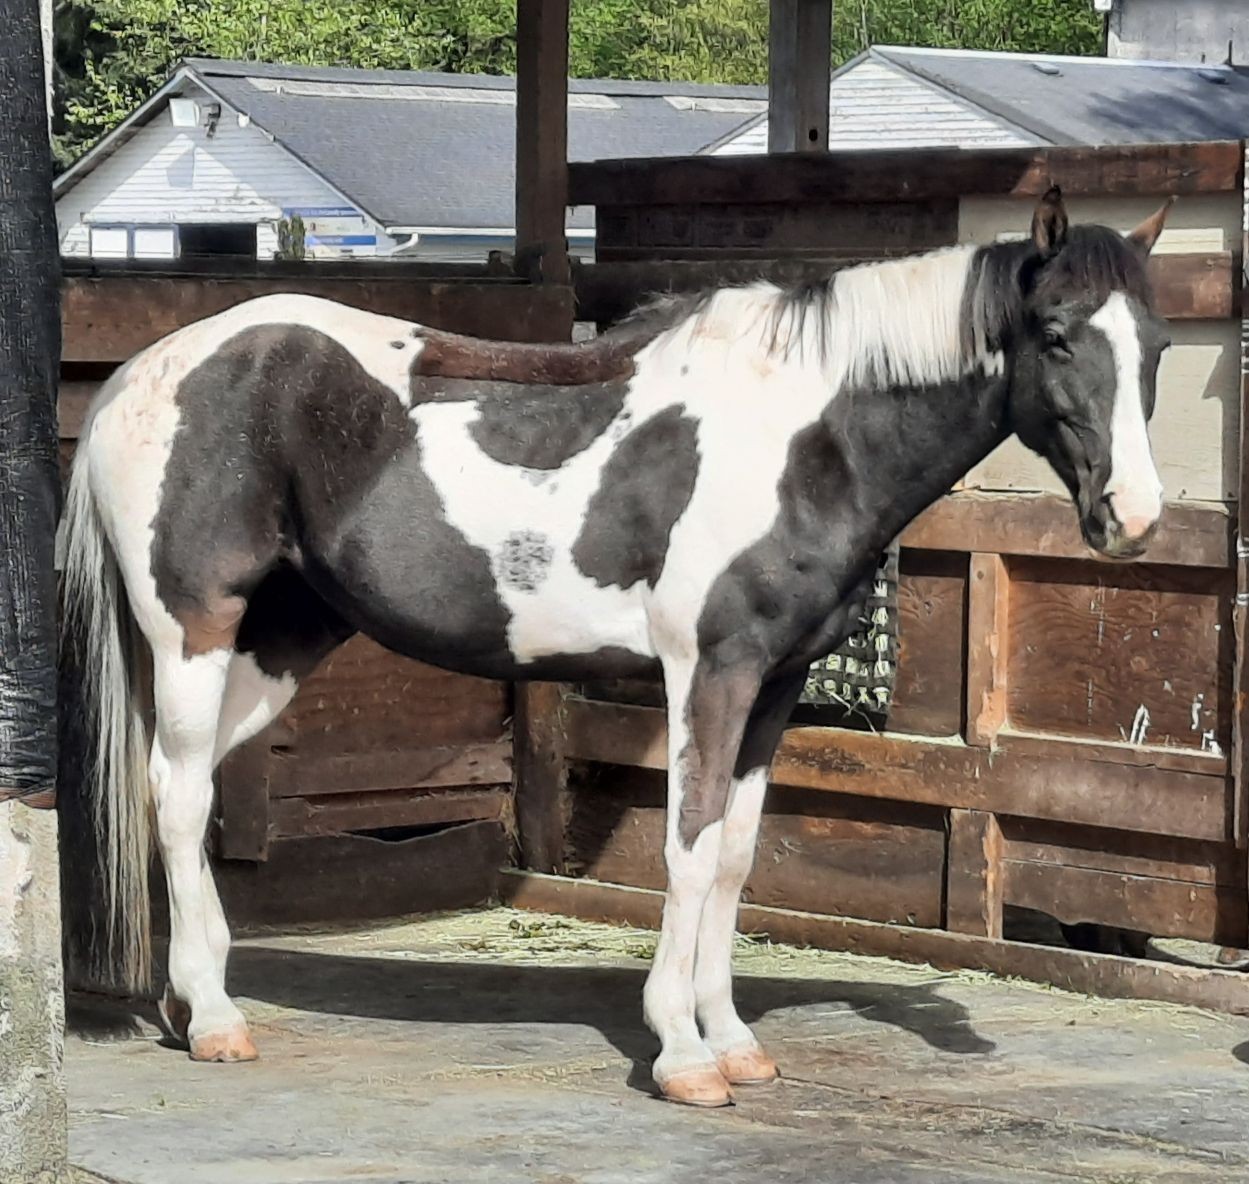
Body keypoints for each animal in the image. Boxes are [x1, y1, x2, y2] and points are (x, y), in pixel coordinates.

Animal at [58, 187, 1172, 1108]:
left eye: (1156, 344)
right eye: (1055, 332)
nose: (1133, 515)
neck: (799, 439)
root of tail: (137, 376)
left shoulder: (773, 683)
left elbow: (734, 857)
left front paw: (733, 1041)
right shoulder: (709, 672)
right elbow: (688, 847)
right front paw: (681, 1054)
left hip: (281, 641)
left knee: (179, 786)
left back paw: (189, 1001)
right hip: (196, 629)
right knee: (178, 793)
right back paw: (216, 1020)